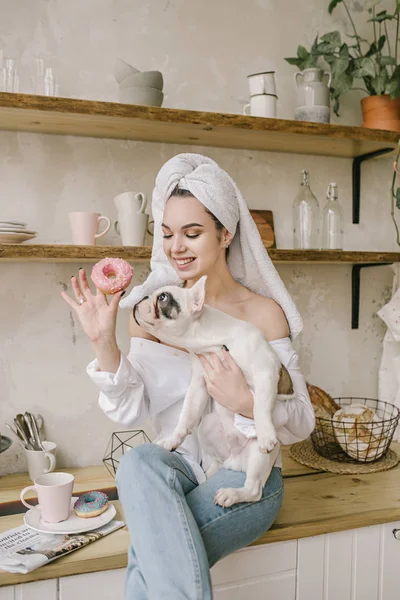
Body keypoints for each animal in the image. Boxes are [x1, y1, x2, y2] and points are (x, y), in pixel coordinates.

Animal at [134, 276, 294, 506]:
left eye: (163, 297)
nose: (141, 298)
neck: (211, 341)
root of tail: (233, 461)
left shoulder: (265, 372)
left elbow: (260, 407)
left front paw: (266, 435)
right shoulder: (200, 383)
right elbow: (186, 415)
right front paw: (173, 439)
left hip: (258, 457)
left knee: (254, 490)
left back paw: (232, 494)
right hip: (206, 427)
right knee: (217, 462)